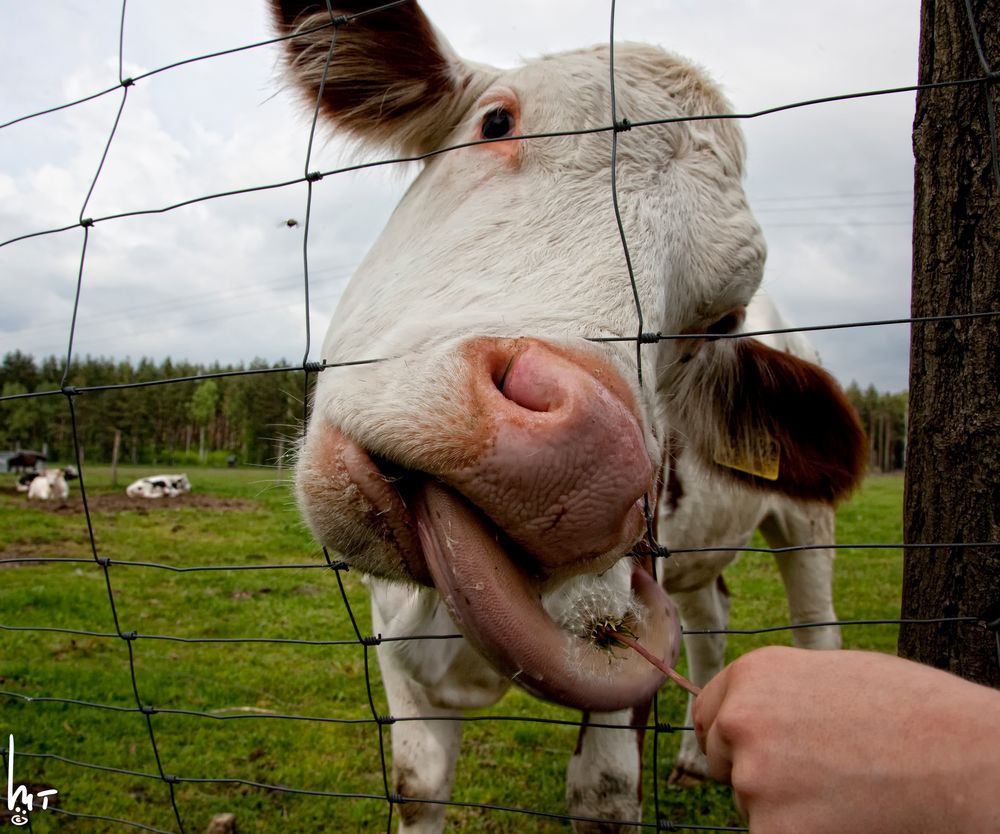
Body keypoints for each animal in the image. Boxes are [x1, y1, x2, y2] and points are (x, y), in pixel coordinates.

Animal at [270, 3, 864, 828]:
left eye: (720, 320)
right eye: (496, 120)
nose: (575, 454)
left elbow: (605, 790)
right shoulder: (392, 643)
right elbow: (416, 783)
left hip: (807, 527)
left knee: (815, 629)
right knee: (710, 621)